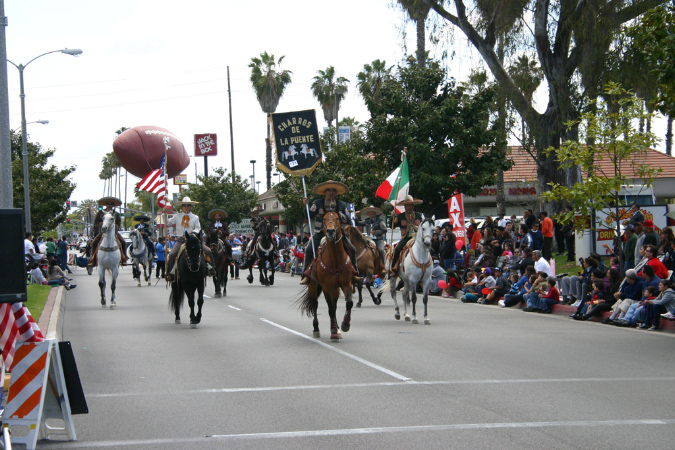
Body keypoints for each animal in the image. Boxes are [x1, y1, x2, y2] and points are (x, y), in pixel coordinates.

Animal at [300, 211, 356, 342]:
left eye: (337, 218)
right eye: (324, 219)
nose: (330, 231)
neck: (335, 260)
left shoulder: (346, 284)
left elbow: (349, 303)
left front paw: (344, 325)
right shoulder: (326, 287)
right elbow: (330, 309)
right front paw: (334, 332)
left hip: (335, 289)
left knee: (334, 306)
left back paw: (337, 328)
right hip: (313, 286)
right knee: (315, 305)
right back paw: (316, 329)